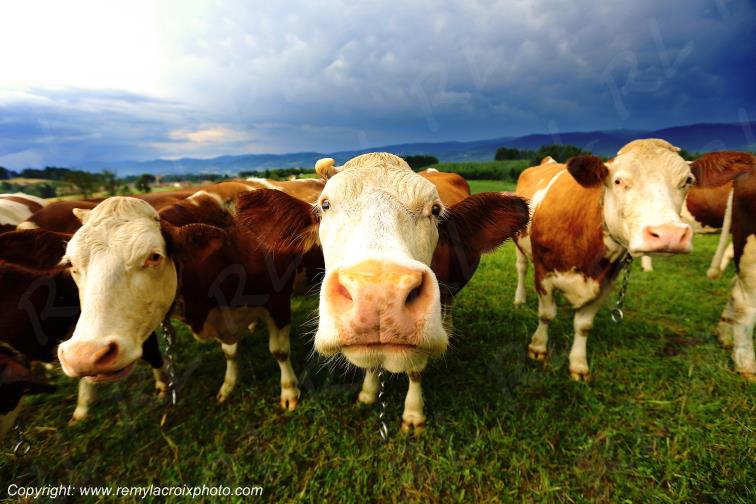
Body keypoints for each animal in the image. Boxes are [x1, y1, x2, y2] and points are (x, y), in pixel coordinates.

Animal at [235, 153, 529, 431]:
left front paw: (413, 415)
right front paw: (367, 392)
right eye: (325, 205)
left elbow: (416, 371)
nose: (378, 294)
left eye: (435, 210)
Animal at [513, 139, 694, 380]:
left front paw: (578, 365)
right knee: (521, 268)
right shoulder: (543, 273)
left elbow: (583, 325)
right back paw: (519, 299)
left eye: (687, 181)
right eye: (618, 180)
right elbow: (546, 314)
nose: (670, 234)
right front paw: (538, 348)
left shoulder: (605, 283)